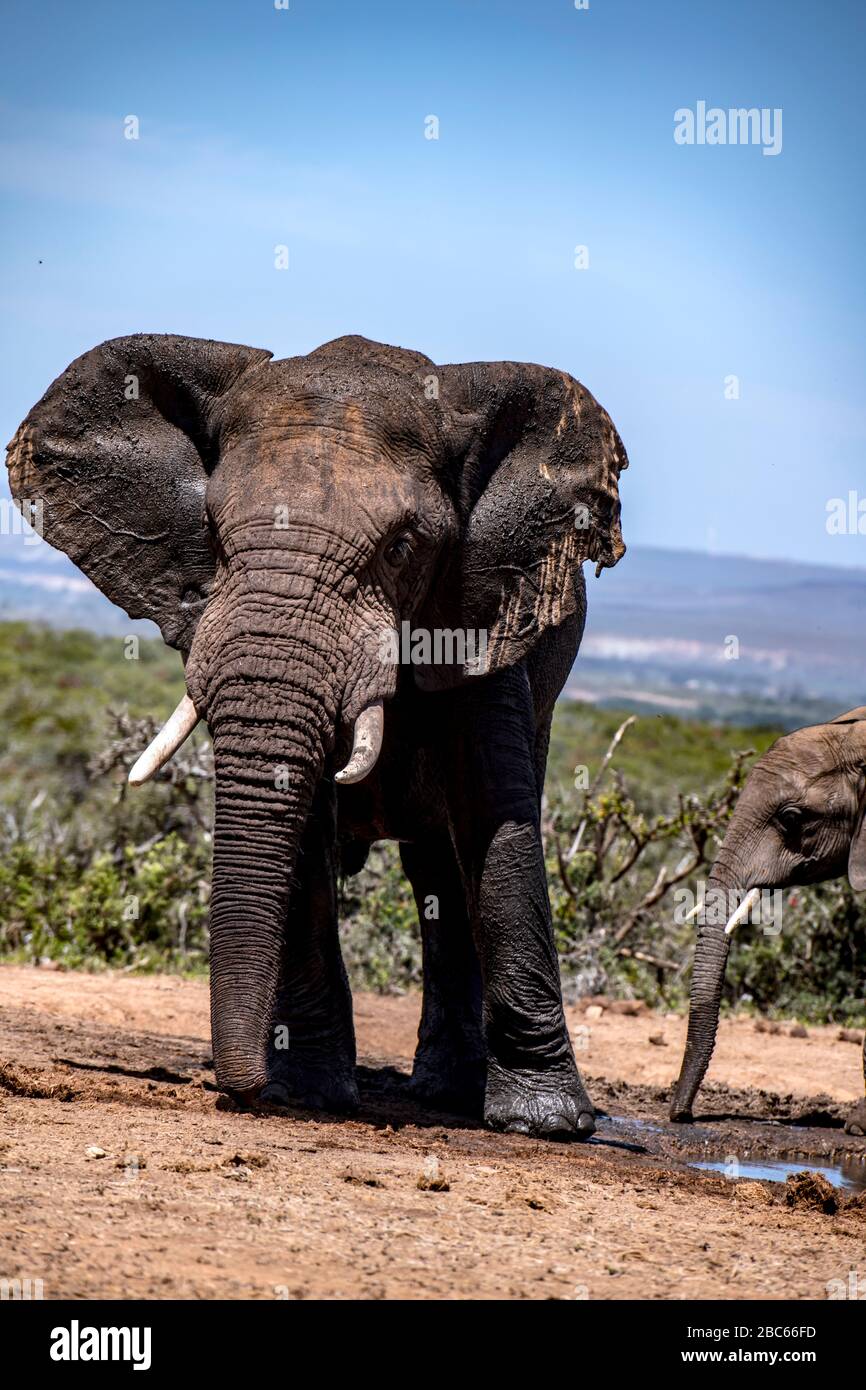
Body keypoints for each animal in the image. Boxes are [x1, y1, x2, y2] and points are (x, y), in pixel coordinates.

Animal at [8, 333, 631, 1139]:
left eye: (401, 547)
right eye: (215, 538)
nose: (239, 1091)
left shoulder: (484, 609)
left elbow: (498, 820)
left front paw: (546, 1123)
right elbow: (300, 815)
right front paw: (304, 1094)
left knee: (444, 867)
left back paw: (449, 1096)